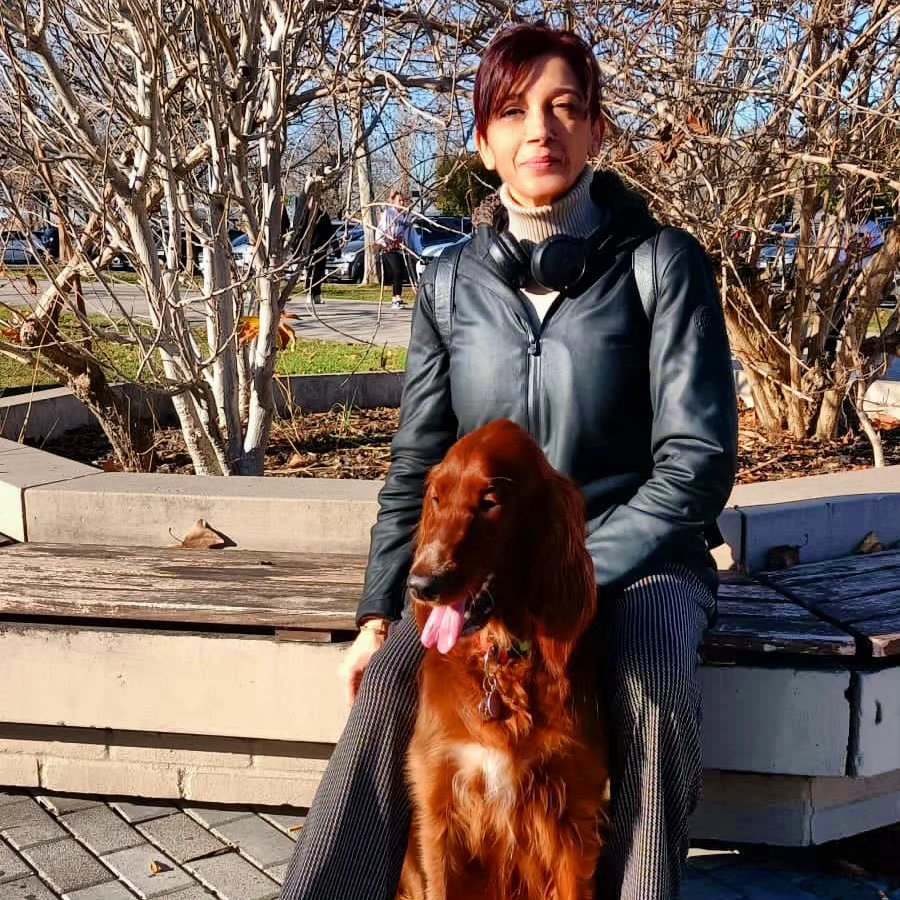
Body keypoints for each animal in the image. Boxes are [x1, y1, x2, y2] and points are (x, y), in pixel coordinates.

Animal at [398, 419, 608, 900]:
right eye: (436, 498)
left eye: (489, 503)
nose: (421, 583)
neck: (501, 662)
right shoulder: (440, 810)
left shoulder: (573, 817)